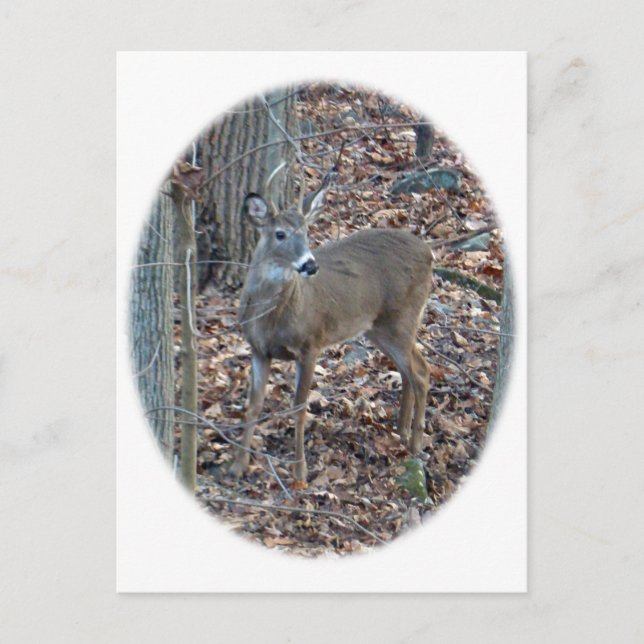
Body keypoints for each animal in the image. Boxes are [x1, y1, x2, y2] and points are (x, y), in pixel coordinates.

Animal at [228, 163, 434, 488]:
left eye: (307, 232)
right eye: (280, 234)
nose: (310, 265)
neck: (271, 319)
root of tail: (430, 253)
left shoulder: (310, 343)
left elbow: (299, 407)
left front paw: (299, 473)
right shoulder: (258, 350)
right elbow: (254, 404)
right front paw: (238, 466)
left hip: (402, 319)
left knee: (423, 372)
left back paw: (415, 444)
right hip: (379, 328)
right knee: (408, 371)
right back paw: (401, 431)